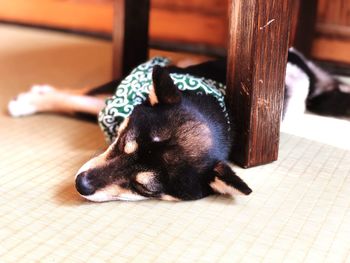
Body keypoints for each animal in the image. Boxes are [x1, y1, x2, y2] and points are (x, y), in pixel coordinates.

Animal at [8, 48, 350, 203]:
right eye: (121, 143)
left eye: (144, 188)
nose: (81, 184)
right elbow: (74, 100)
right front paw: (29, 103)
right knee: (85, 92)